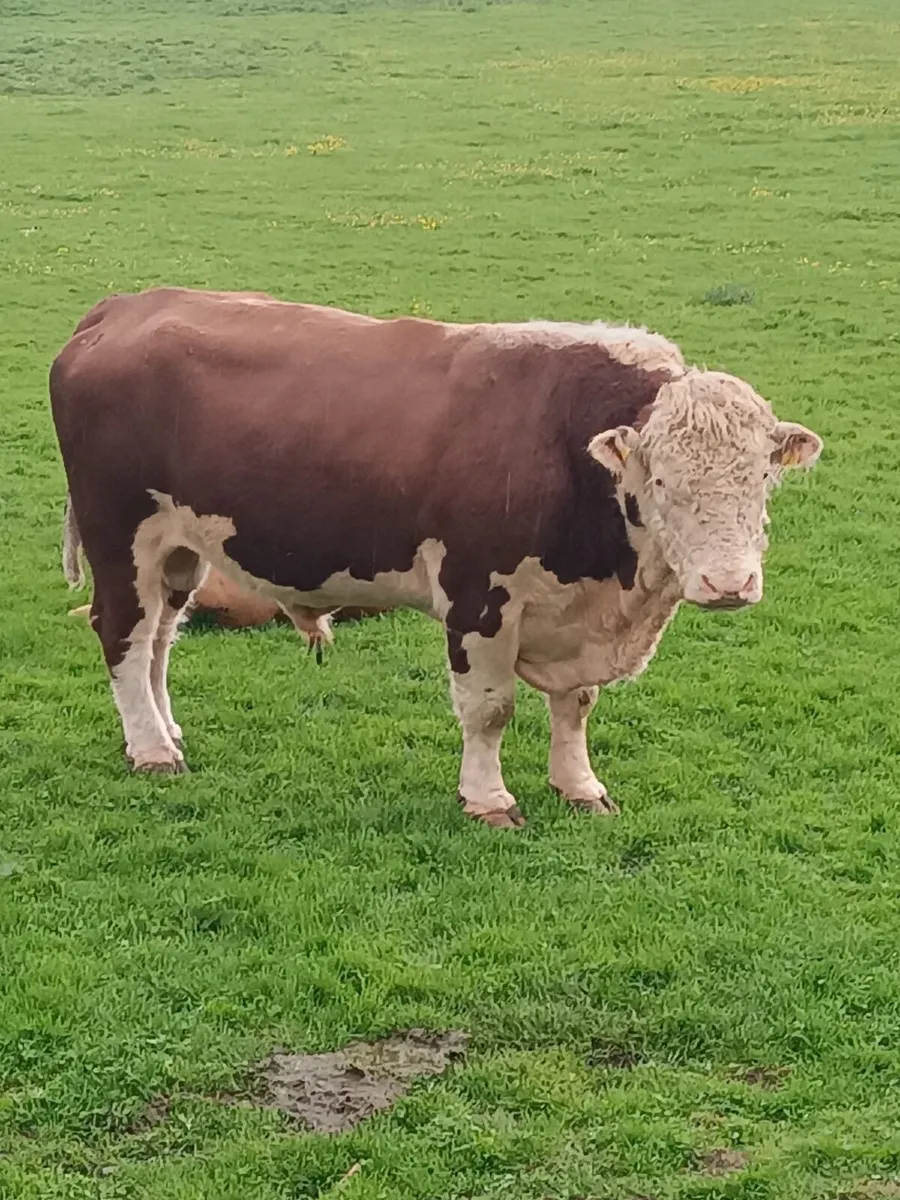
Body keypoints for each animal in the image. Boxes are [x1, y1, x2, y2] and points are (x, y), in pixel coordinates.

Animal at [49, 288, 823, 828]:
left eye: (762, 476)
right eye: (661, 480)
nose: (729, 583)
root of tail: (125, 306)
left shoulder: (574, 620)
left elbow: (575, 705)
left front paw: (579, 787)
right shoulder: (478, 595)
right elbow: (489, 709)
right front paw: (489, 800)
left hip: (179, 550)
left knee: (159, 639)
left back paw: (163, 730)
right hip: (121, 536)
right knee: (124, 635)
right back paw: (152, 751)